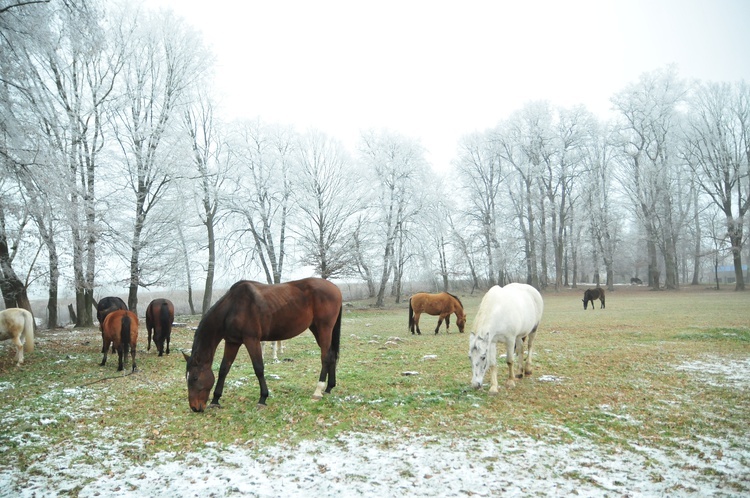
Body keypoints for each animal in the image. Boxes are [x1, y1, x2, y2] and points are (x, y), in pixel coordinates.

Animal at [185, 276, 344, 412]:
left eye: (194, 378)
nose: (195, 407)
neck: (233, 308)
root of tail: (335, 288)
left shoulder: (252, 340)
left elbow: (258, 368)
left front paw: (262, 398)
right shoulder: (232, 342)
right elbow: (224, 369)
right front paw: (215, 400)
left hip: (324, 328)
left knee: (325, 357)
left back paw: (318, 391)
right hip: (317, 329)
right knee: (331, 355)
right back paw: (329, 388)